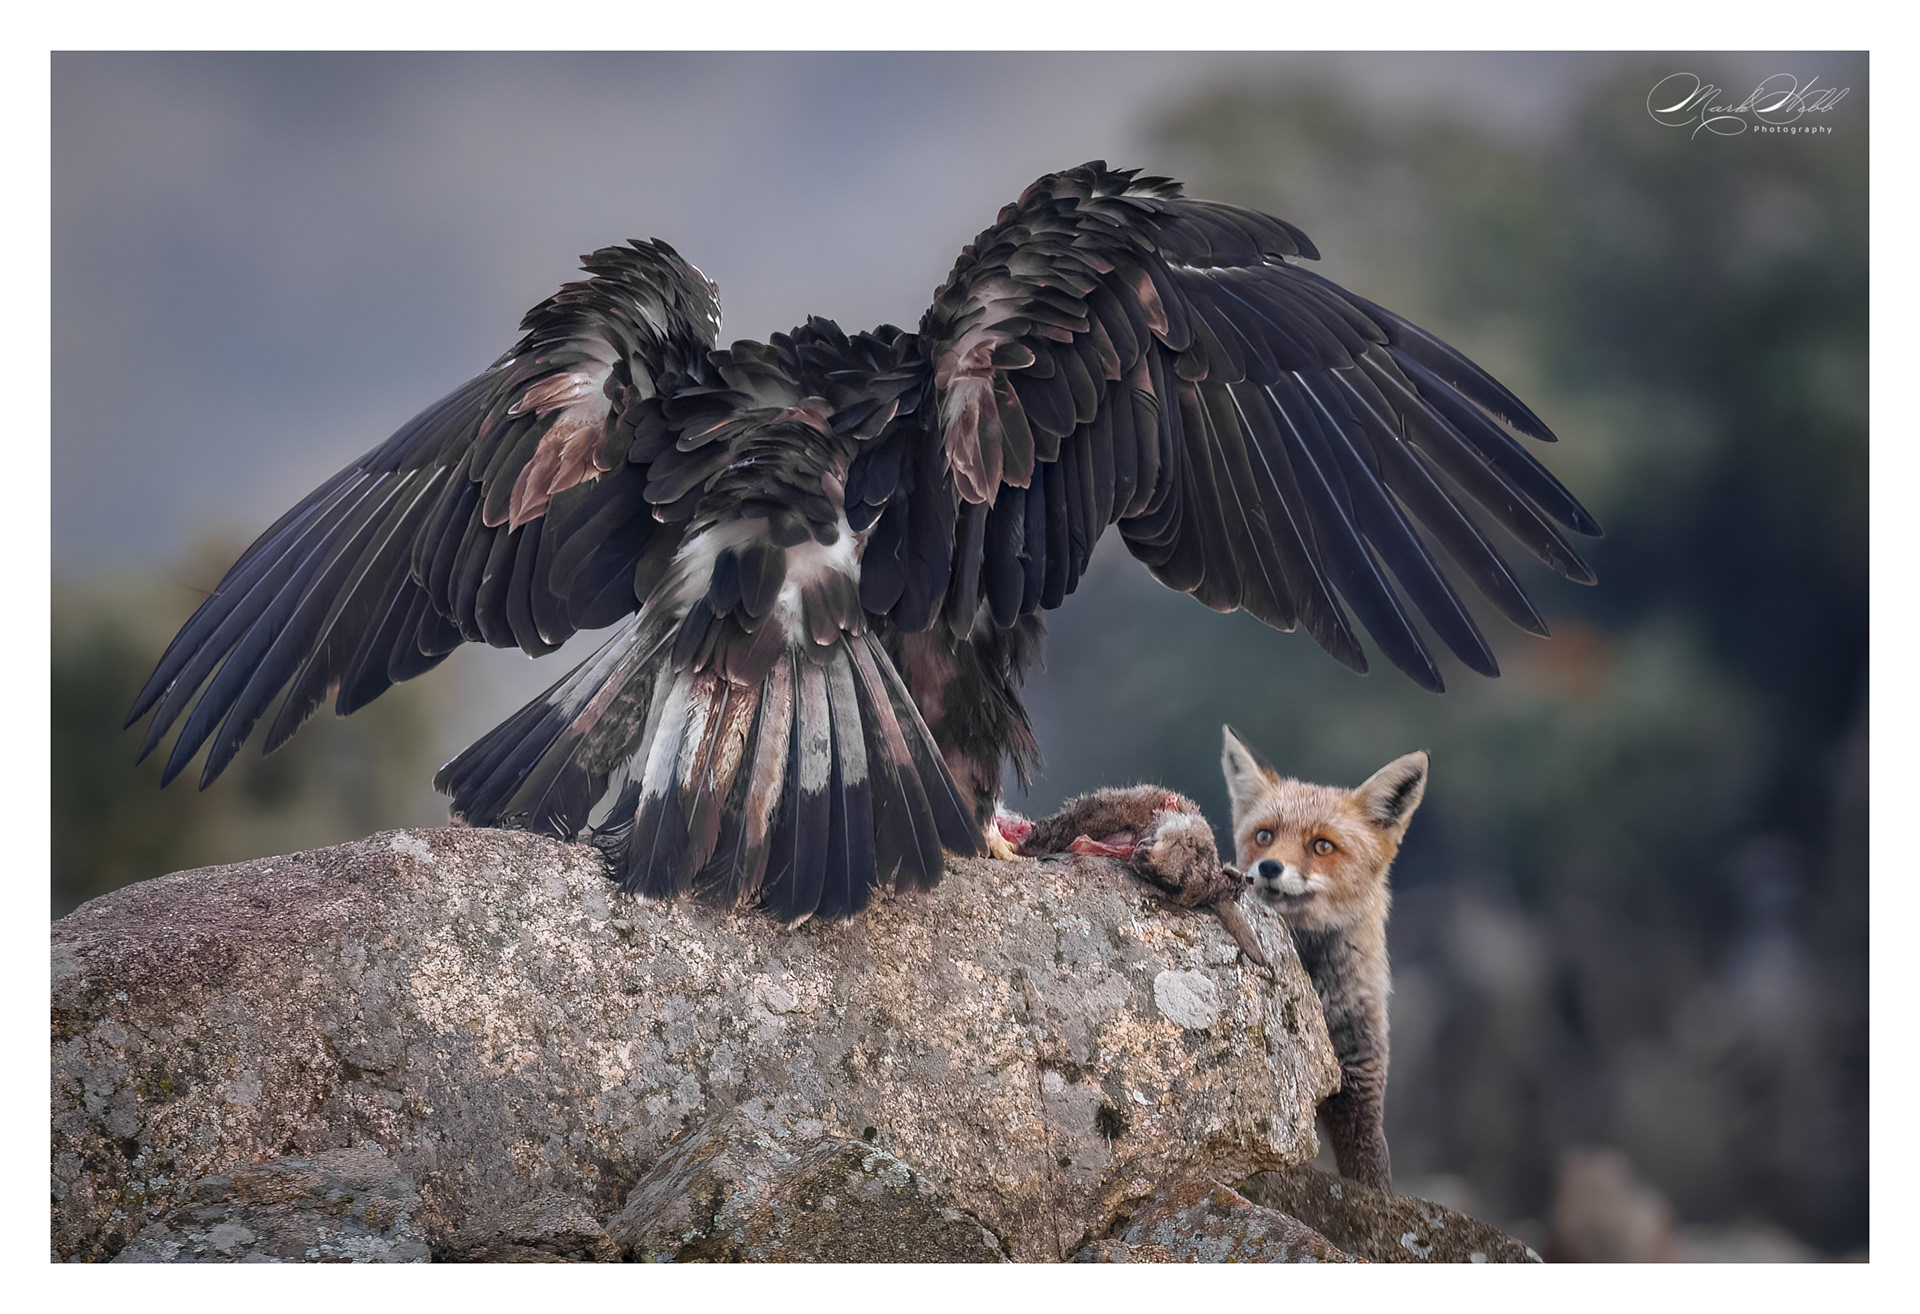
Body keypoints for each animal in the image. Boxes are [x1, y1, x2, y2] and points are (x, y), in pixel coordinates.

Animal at [1220, 725, 1430, 1194]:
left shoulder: (1360, 1078)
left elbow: (1374, 1175)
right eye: (1264, 836)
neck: (1319, 992)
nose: (1269, 868)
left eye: (1322, 846)